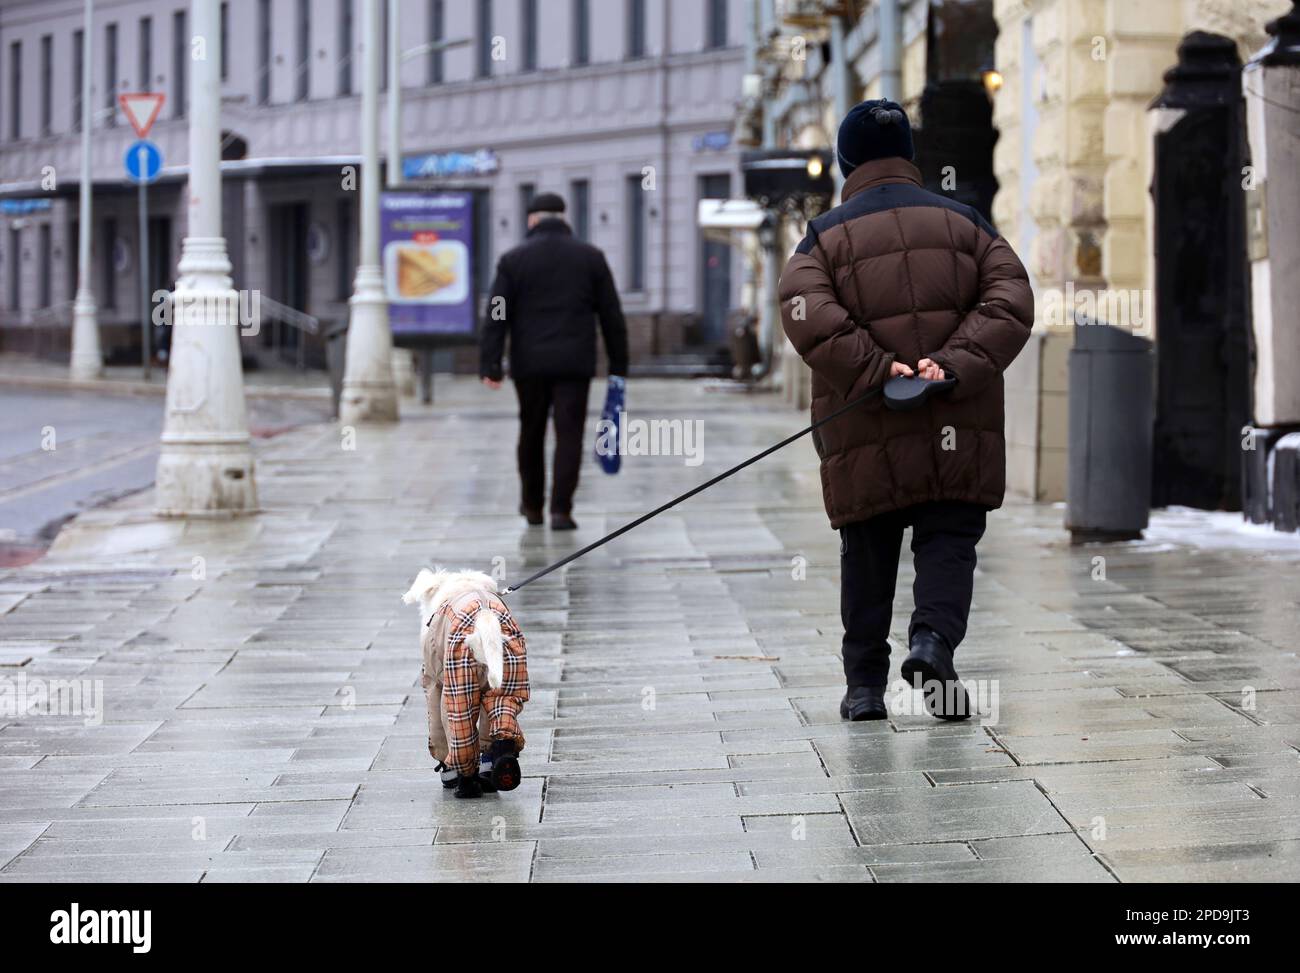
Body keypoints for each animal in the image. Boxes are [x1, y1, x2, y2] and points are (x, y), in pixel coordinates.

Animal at [403, 567, 530, 796]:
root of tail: (483, 615)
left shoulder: (434, 682)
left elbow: (438, 732)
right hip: (510, 674)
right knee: (501, 718)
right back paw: (503, 771)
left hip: (458, 682)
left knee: (460, 738)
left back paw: (466, 787)